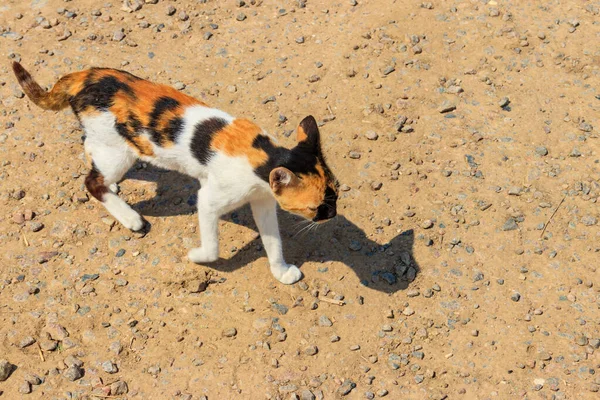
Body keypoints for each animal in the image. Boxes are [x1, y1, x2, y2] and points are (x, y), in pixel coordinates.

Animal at [11, 61, 338, 284]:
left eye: (337, 194)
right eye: (315, 207)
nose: (332, 215)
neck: (265, 155)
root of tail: (85, 75)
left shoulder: (264, 202)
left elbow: (274, 242)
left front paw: (281, 271)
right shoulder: (209, 199)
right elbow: (213, 247)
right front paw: (197, 256)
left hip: (112, 145)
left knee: (90, 149)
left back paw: (112, 186)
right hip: (120, 152)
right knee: (91, 182)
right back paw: (130, 217)